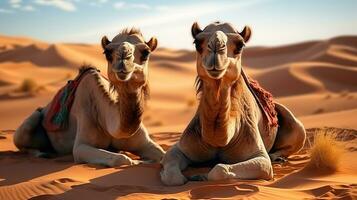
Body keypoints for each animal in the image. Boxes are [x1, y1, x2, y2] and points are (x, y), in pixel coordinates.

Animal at [13, 27, 164, 166]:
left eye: (146, 52)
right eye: (107, 52)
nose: (123, 58)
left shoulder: (145, 143)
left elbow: (162, 155)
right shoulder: (80, 146)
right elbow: (121, 159)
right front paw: (137, 161)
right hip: (31, 121)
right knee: (25, 144)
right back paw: (43, 153)